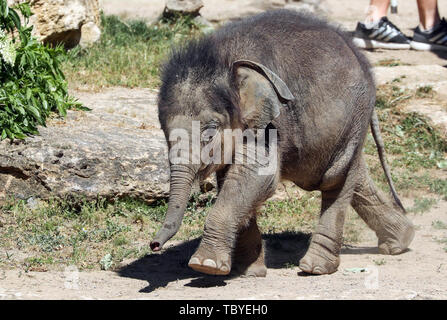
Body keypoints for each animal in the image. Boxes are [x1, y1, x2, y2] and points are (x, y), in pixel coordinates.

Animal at [150, 8, 416, 276]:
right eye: (164, 130)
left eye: (211, 131)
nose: (154, 245)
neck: (220, 59)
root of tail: (362, 59)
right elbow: (233, 180)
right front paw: (250, 272)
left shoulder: (270, 125)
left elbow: (257, 177)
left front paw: (206, 266)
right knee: (350, 172)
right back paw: (400, 242)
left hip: (354, 115)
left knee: (335, 178)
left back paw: (315, 268)